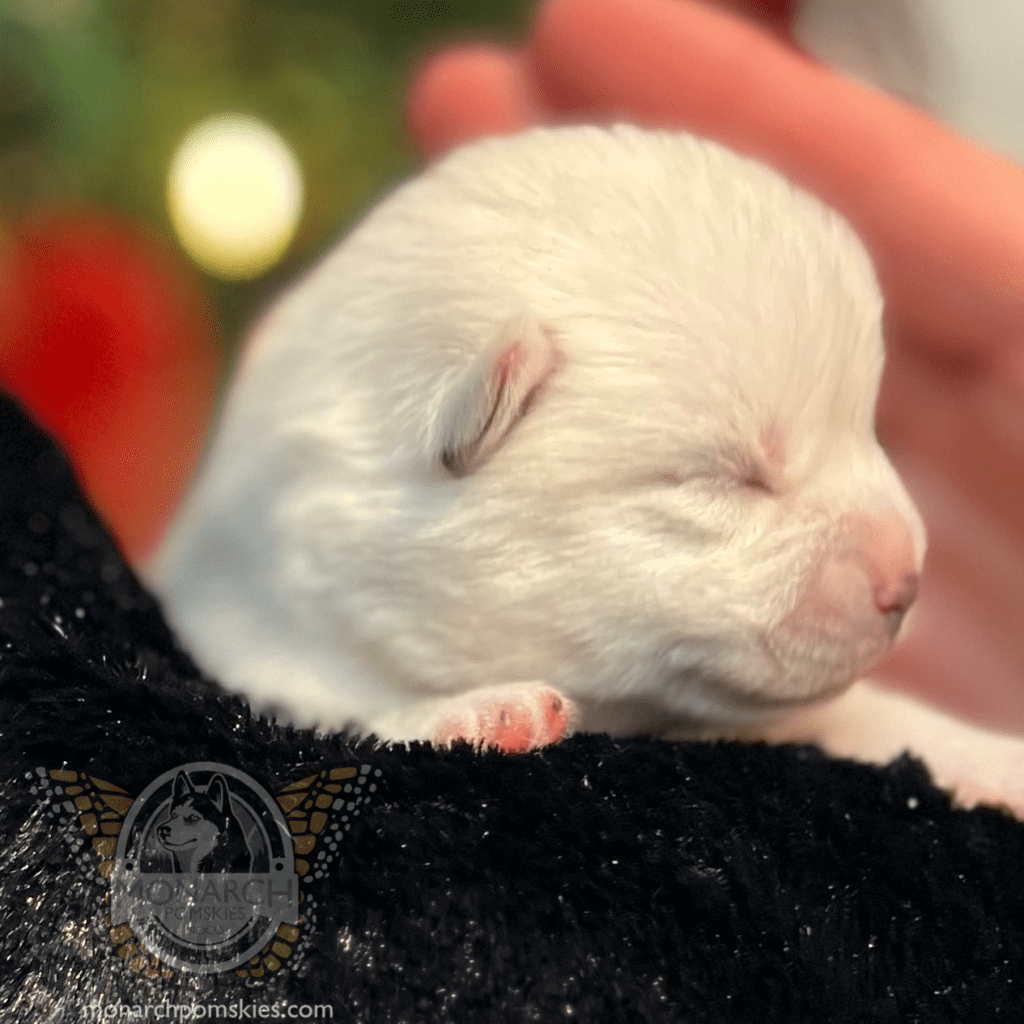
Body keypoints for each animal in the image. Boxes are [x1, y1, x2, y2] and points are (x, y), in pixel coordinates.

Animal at [151, 119, 1024, 806]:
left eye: (869, 427)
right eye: (727, 479)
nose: (908, 583)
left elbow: (862, 711)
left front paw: (990, 758)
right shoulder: (247, 628)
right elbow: (334, 704)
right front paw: (476, 714)